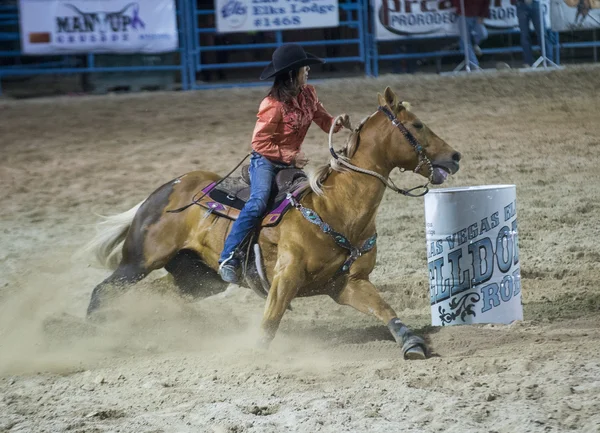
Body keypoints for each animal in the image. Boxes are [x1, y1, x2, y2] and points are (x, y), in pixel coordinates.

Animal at [84, 87, 462, 358]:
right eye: (417, 125)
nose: (455, 156)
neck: (335, 207)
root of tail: (165, 190)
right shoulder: (286, 276)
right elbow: (270, 321)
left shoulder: (348, 283)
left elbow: (384, 308)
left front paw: (411, 343)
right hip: (139, 262)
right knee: (103, 290)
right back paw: (91, 334)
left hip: (197, 278)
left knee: (161, 293)